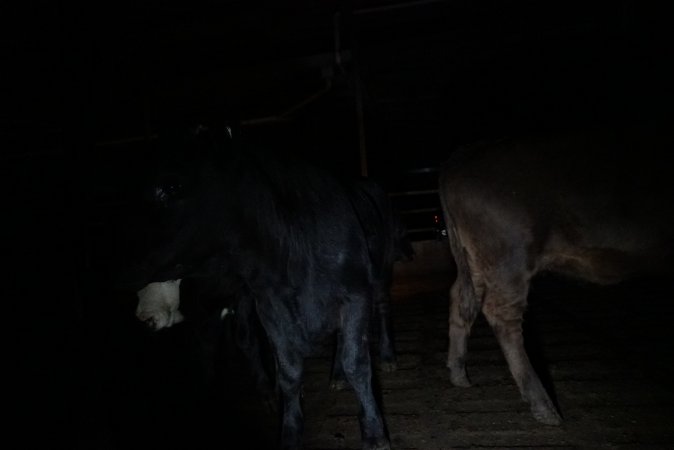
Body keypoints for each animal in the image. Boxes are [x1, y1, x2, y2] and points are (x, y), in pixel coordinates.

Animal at [122, 127, 394, 450]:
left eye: (171, 186)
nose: (145, 318)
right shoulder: (268, 306)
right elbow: (288, 370)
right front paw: (289, 431)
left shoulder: (355, 293)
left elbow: (357, 362)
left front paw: (374, 433)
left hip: (381, 273)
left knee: (382, 308)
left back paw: (387, 357)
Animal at [438, 129, 668, 426]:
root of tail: (462, 154)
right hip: (509, 255)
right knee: (502, 315)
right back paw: (544, 407)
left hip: (476, 259)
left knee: (462, 299)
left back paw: (459, 374)